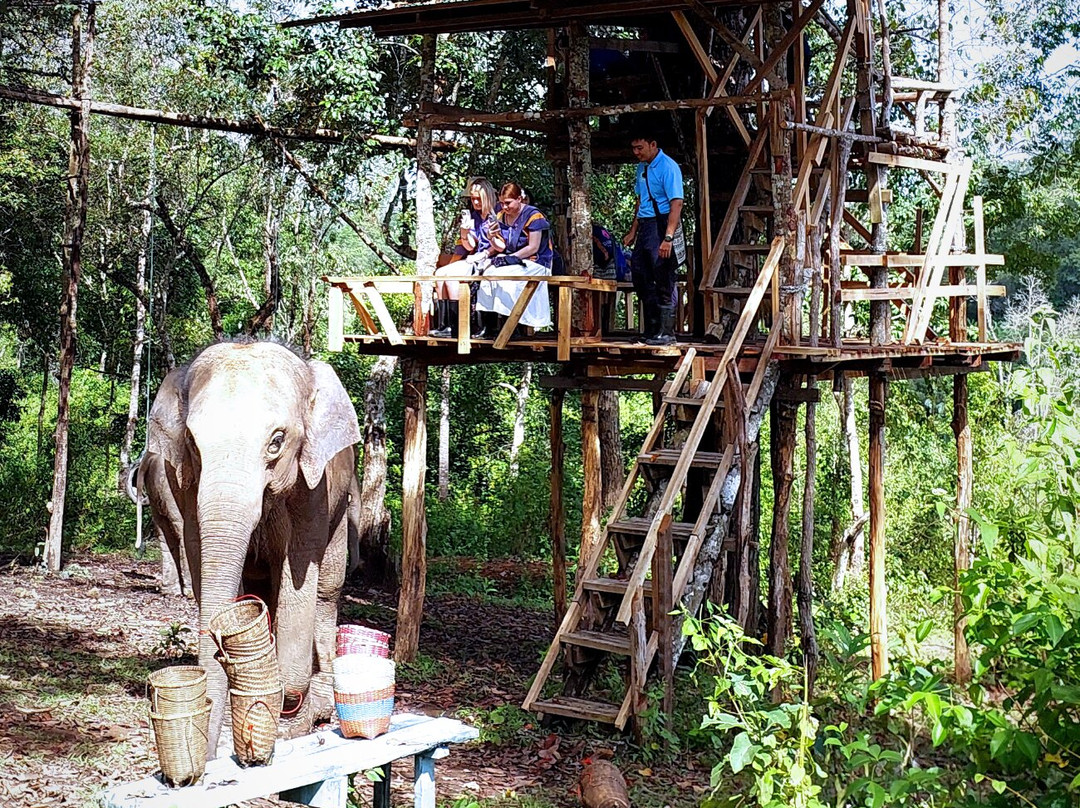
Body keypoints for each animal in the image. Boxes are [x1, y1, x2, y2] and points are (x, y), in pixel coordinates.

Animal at [138, 340, 362, 756]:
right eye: (192, 443)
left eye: (276, 441)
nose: (209, 759)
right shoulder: (184, 485)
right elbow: (199, 551)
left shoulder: (314, 488)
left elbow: (300, 569)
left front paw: (289, 716)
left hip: (342, 508)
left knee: (327, 591)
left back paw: (320, 708)